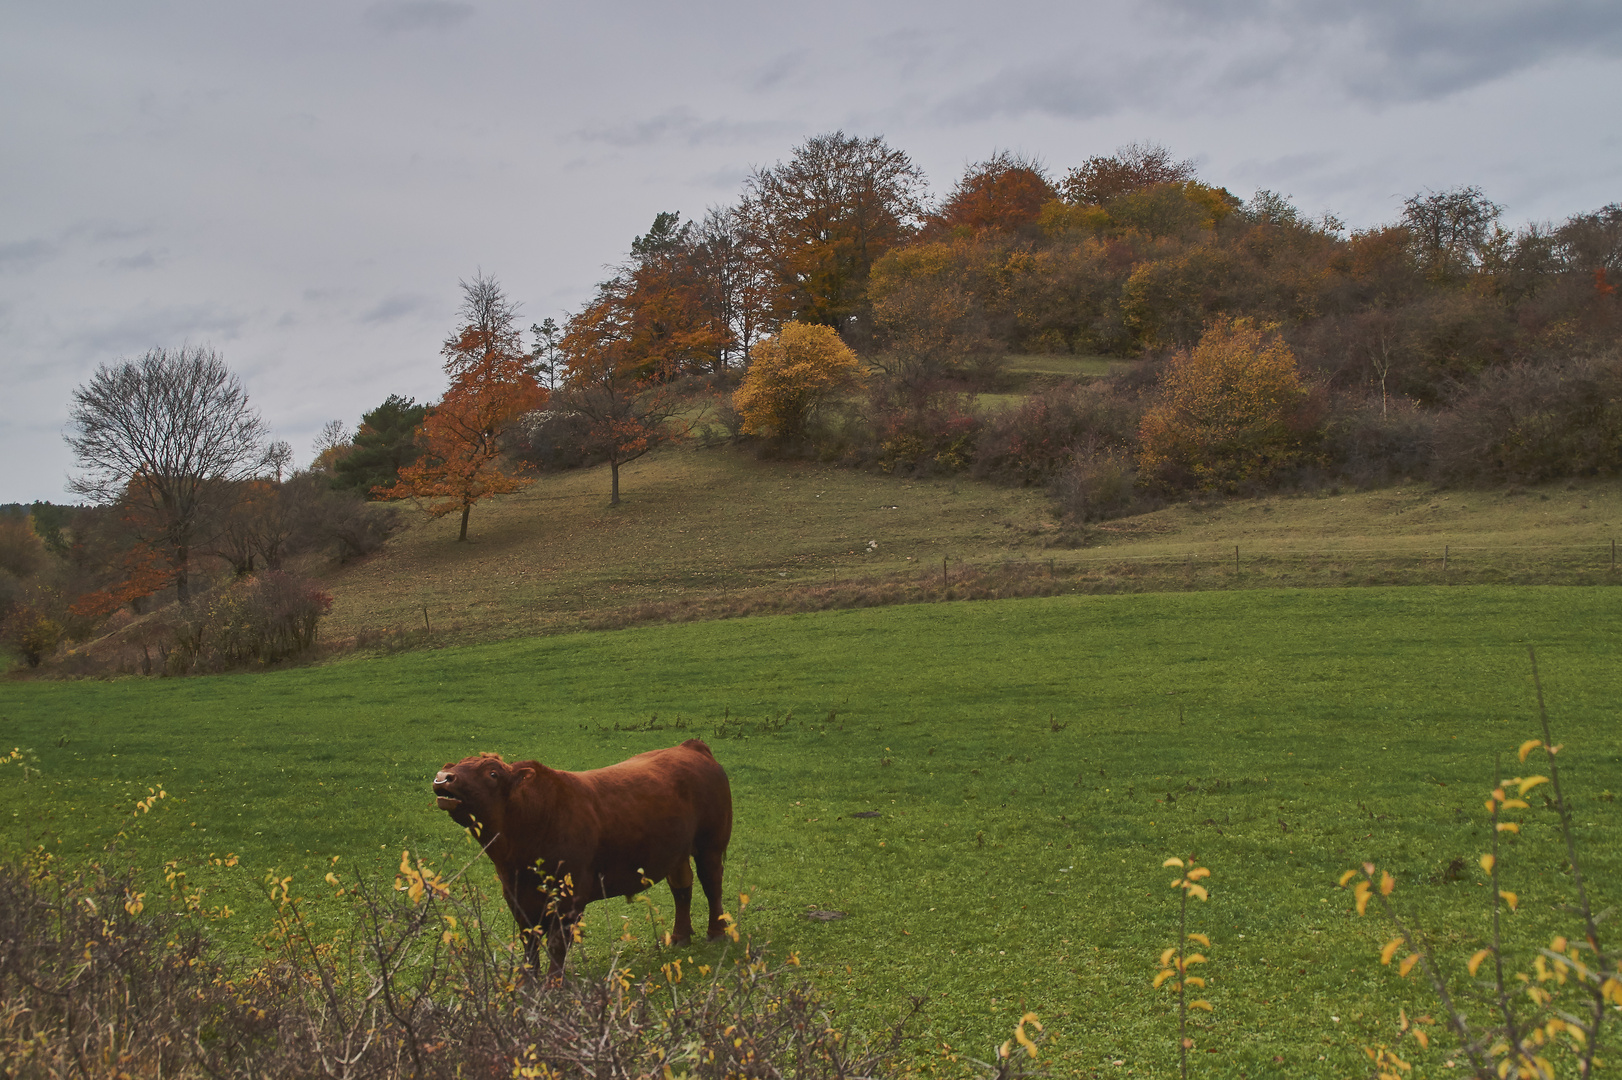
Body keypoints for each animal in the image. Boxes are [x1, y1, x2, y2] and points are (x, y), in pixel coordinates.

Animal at [434, 736, 733, 972]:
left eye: (493, 774)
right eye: (456, 766)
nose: (443, 777)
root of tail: (690, 747)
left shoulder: (570, 896)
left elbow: (556, 945)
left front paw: (553, 986)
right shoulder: (516, 897)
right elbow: (530, 944)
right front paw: (528, 985)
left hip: (711, 845)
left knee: (712, 885)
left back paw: (716, 932)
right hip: (677, 851)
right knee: (681, 887)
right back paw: (680, 936)